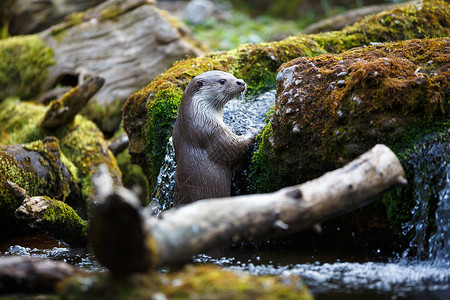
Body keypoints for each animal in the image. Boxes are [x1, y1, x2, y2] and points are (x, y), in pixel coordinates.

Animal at [173, 70, 256, 206]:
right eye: (222, 81)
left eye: (232, 75)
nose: (241, 82)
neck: (196, 116)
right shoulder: (211, 132)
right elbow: (233, 148)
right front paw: (253, 130)